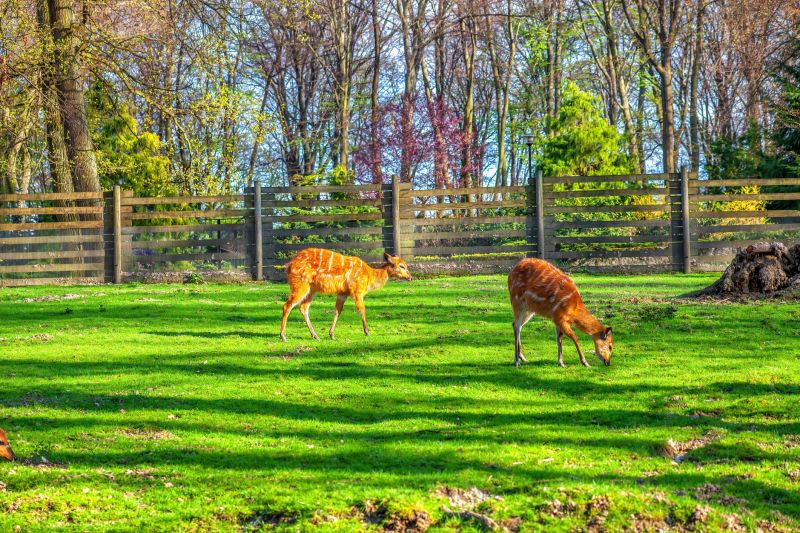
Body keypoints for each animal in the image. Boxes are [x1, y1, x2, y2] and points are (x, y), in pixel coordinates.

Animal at [279, 248, 413, 341]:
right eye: (401, 266)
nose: (411, 277)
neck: (369, 276)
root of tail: (290, 265)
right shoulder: (357, 291)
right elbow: (362, 309)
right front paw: (367, 332)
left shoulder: (343, 293)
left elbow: (338, 310)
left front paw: (331, 334)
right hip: (300, 285)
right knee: (287, 305)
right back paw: (283, 336)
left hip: (311, 289)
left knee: (303, 307)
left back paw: (315, 336)